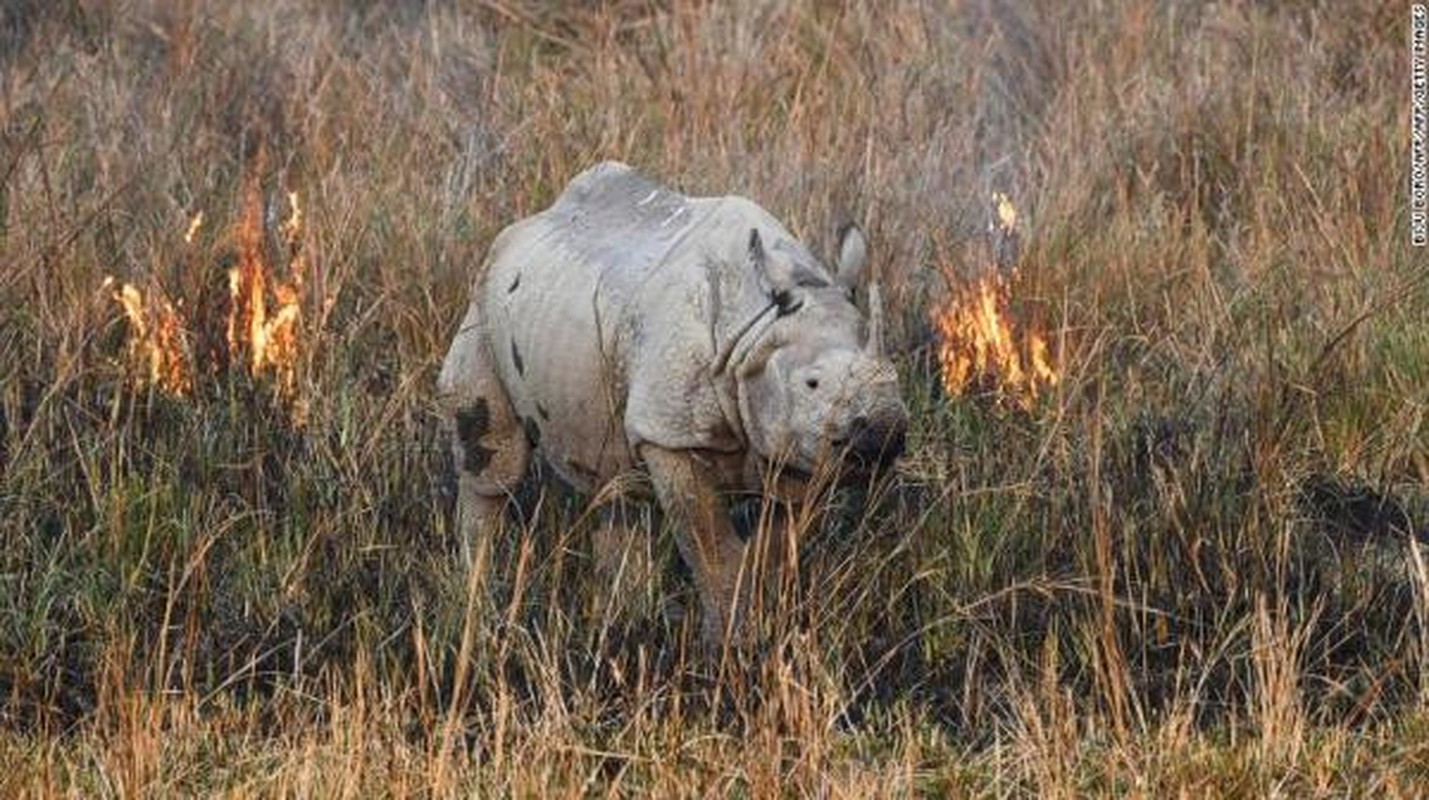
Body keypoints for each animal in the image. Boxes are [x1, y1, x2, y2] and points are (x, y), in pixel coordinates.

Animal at [437, 160, 903, 642]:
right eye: (813, 383)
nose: (883, 435)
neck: (757, 327)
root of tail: (522, 227)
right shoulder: (670, 433)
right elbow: (711, 547)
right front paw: (730, 644)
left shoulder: (791, 448)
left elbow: (772, 549)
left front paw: (758, 624)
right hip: (482, 305)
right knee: (494, 466)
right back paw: (477, 602)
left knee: (617, 484)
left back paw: (621, 624)